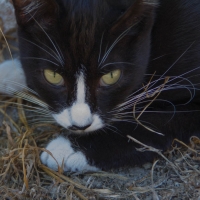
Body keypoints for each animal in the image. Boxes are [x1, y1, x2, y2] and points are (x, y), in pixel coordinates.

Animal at [0, 0, 200, 172]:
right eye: (53, 76)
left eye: (111, 76)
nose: (80, 125)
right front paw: (11, 72)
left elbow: (159, 120)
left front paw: (69, 149)